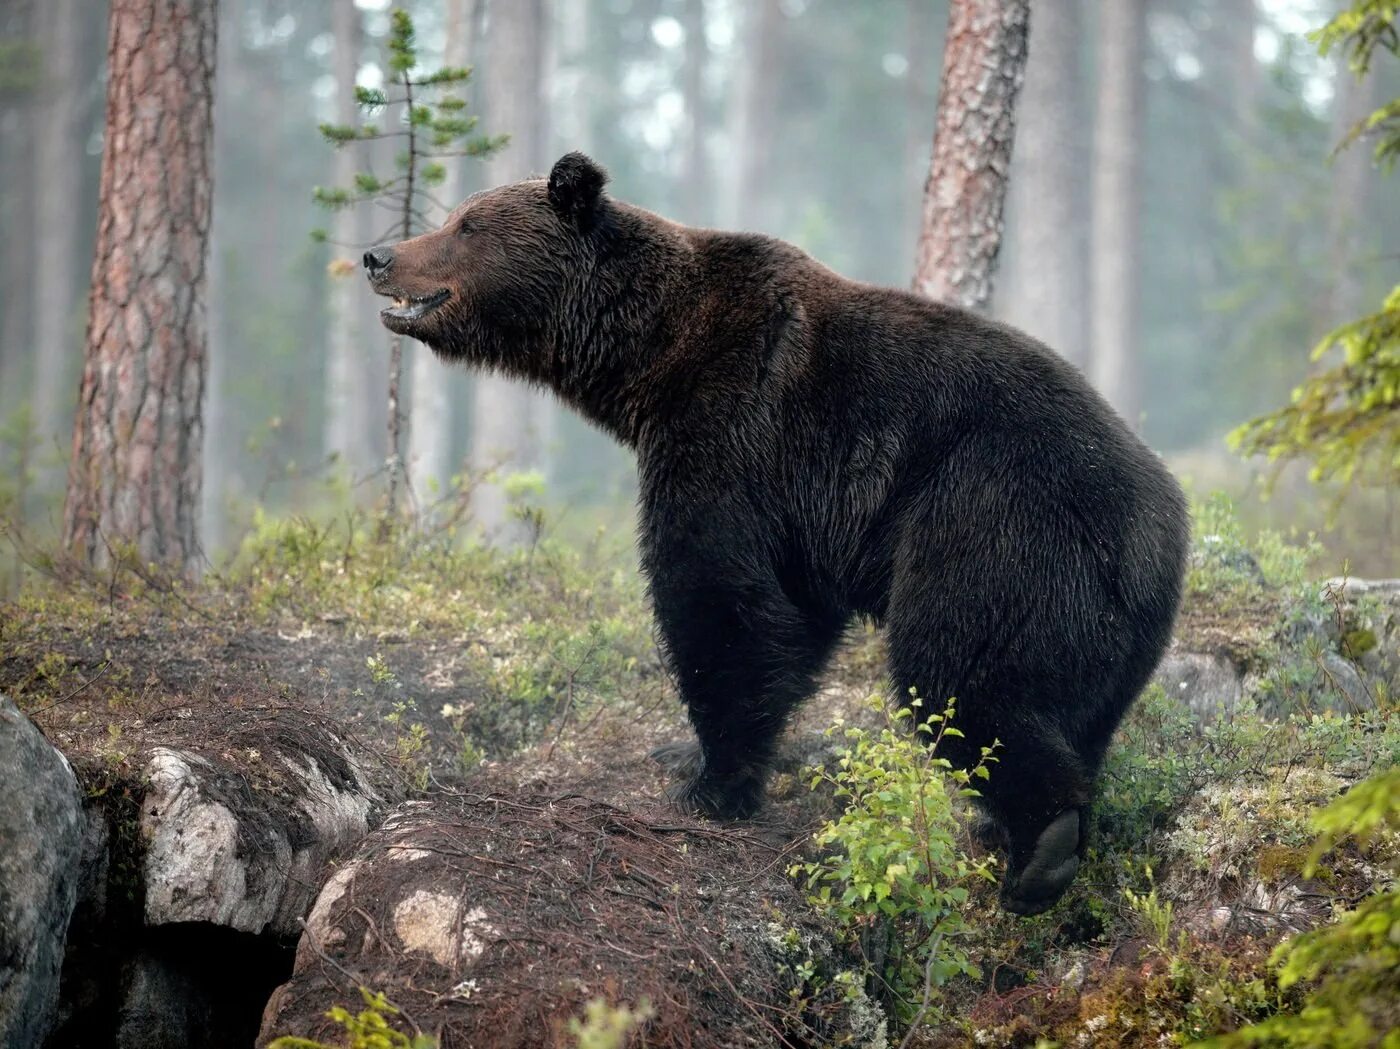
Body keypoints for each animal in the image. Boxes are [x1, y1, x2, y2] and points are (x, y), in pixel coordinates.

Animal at [366, 151, 1187, 913]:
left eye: (465, 225)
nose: (379, 256)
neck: (650, 354)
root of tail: (1158, 526)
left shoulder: (734, 429)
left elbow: (717, 597)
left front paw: (711, 782)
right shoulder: (798, 512)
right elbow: (791, 617)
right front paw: (702, 755)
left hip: (1002, 525)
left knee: (960, 668)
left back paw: (1041, 848)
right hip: (1112, 628)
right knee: (1073, 709)